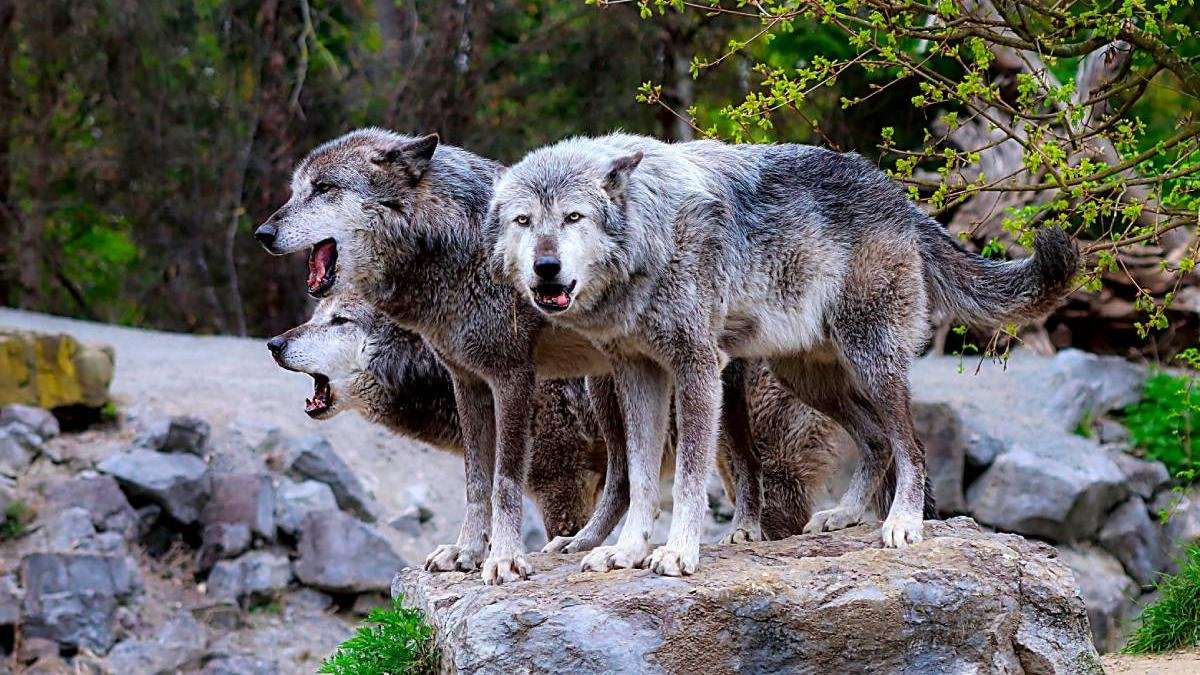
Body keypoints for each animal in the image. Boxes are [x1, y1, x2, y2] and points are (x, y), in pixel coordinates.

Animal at [254, 129, 791, 583]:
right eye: (295, 190)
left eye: (323, 189)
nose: (261, 233)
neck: (454, 248)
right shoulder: (469, 383)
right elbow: (476, 483)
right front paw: (466, 553)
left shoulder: (517, 389)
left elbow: (504, 484)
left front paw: (504, 560)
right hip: (607, 387)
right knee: (624, 479)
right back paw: (583, 545)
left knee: (746, 461)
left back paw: (745, 530)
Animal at [489, 133, 1078, 575]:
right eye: (524, 221)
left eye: (573, 217)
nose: (545, 267)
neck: (653, 232)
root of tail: (903, 201)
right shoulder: (640, 374)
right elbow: (640, 478)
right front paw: (628, 551)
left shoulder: (697, 368)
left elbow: (687, 481)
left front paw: (678, 553)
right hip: (808, 379)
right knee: (877, 442)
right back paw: (843, 516)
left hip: (871, 362)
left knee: (910, 446)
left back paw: (903, 524)